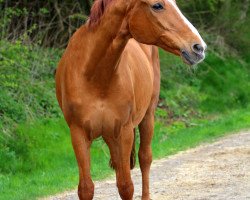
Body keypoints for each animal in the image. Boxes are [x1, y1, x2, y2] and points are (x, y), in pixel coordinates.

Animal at [55, 0, 206, 200]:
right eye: (157, 5)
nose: (199, 47)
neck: (94, 75)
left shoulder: (124, 131)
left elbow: (126, 186)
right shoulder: (78, 133)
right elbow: (86, 188)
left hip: (147, 117)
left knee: (145, 158)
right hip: (109, 135)